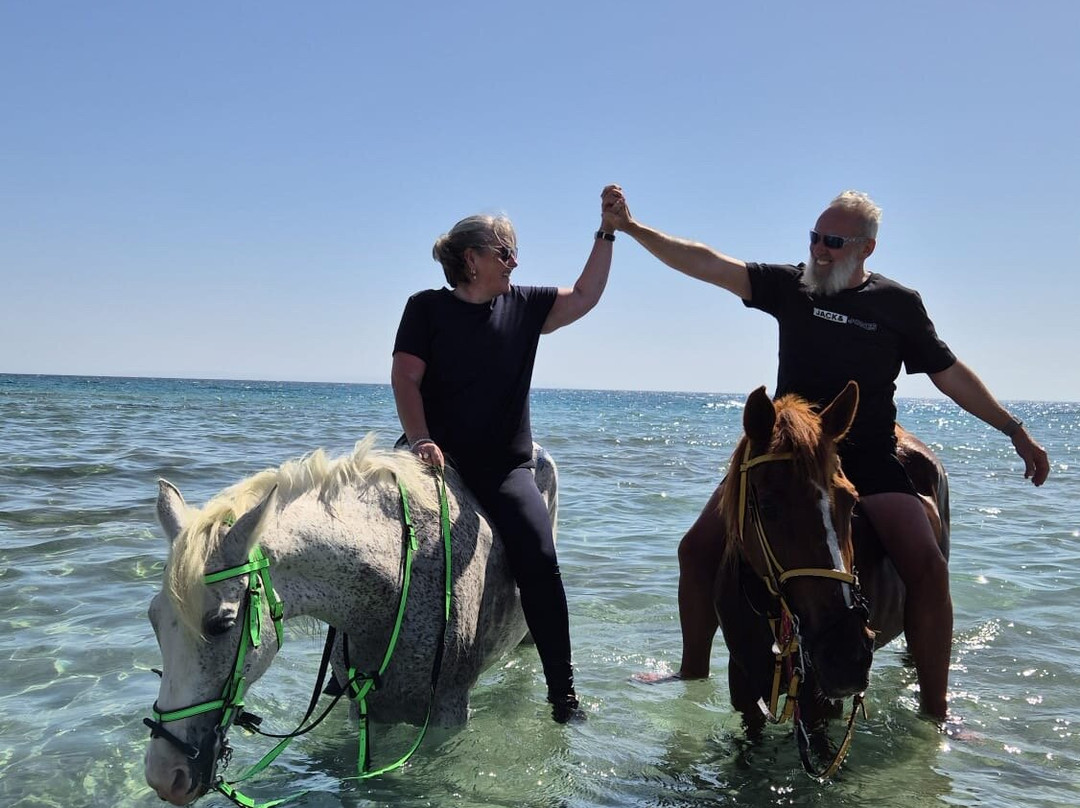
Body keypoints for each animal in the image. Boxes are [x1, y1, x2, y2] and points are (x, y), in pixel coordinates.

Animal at [143, 436, 558, 806]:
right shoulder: (367, 710)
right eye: (153, 620)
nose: (165, 775)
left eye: (222, 624)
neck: (397, 582)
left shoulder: (447, 716)